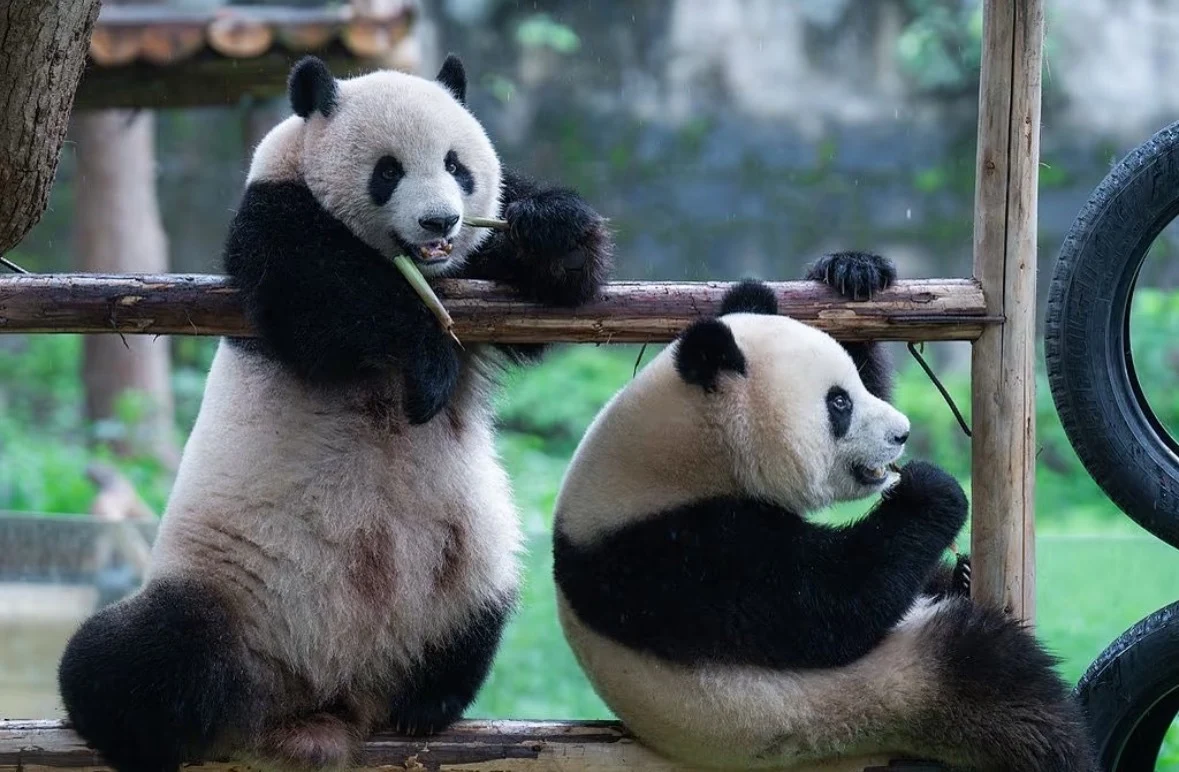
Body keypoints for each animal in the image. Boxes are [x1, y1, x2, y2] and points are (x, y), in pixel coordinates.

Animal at [57, 54, 612, 772]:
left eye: (457, 166)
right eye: (388, 171)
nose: (439, 223)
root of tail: (321, 706)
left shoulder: (480, 265)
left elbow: (551, 297)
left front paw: (551, 228)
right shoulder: (272, 215)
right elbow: (321, 297)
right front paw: (428, 360)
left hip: (464, 577)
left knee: (480, 619)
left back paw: (427, 703)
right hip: (218, 595)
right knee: (128, 661)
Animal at [551, 257, 1097, 772]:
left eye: (854, 387)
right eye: (839, 403)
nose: (902, 433)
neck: (679, 451)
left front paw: (852, 272)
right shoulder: (669, 557)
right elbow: (831, 607)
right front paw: (930, 490)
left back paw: (960, 577)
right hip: (879, 691)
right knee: (1005, 691)